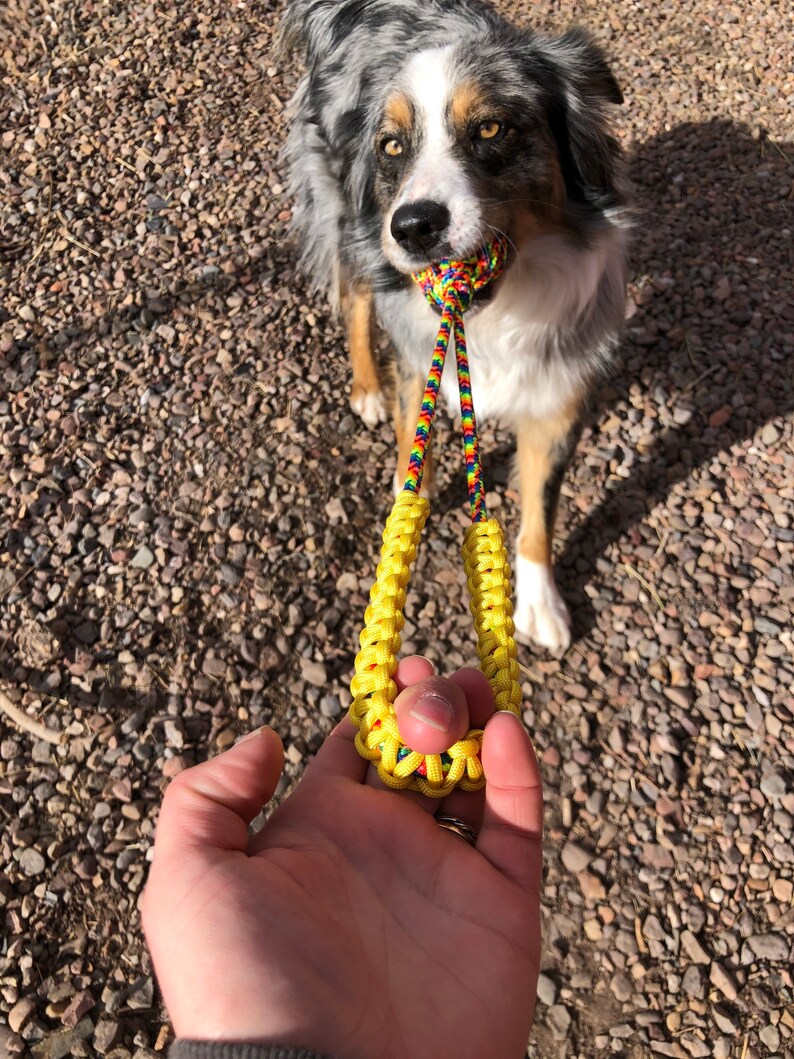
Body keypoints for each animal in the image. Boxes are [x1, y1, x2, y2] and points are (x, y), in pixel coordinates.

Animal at [283, 0, 630, 652]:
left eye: (491, 129)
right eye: (392, 147)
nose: (413, 226)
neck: (496, 310)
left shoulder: (558, 388)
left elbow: (541, 506)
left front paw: (540, 604)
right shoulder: (416, 352)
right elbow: (409, 437)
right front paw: (405, 505)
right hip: (347, 216)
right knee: (355, 297)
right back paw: (365, 388)